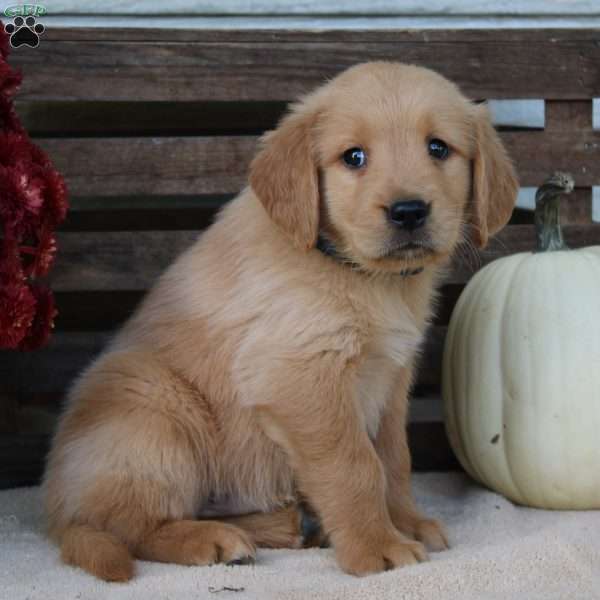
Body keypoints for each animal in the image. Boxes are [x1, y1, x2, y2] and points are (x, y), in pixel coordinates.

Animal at [44, 62, 516, 580]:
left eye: (438, 148)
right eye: (353, 157)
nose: (408, 211)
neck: (360, 275)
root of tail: (56, 512)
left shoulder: (391, 381)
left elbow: (394, 460)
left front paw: (406, 523)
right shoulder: (299, 376)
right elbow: (356, 466)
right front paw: (377, 547)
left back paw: (286, 525)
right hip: (155, 404)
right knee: (130, 524)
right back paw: (211, 539)